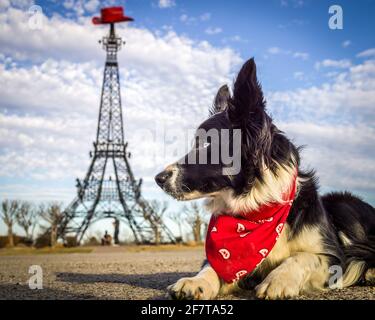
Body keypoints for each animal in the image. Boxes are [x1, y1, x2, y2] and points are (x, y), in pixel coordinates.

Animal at [154, 58, 374, 300]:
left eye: (207, 143)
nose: (158, 178)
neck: (256, 207)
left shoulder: (333, 256)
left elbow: (302, 256)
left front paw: (278, 280)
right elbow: (211, 267)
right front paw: (195, 282)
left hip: (342, 204)